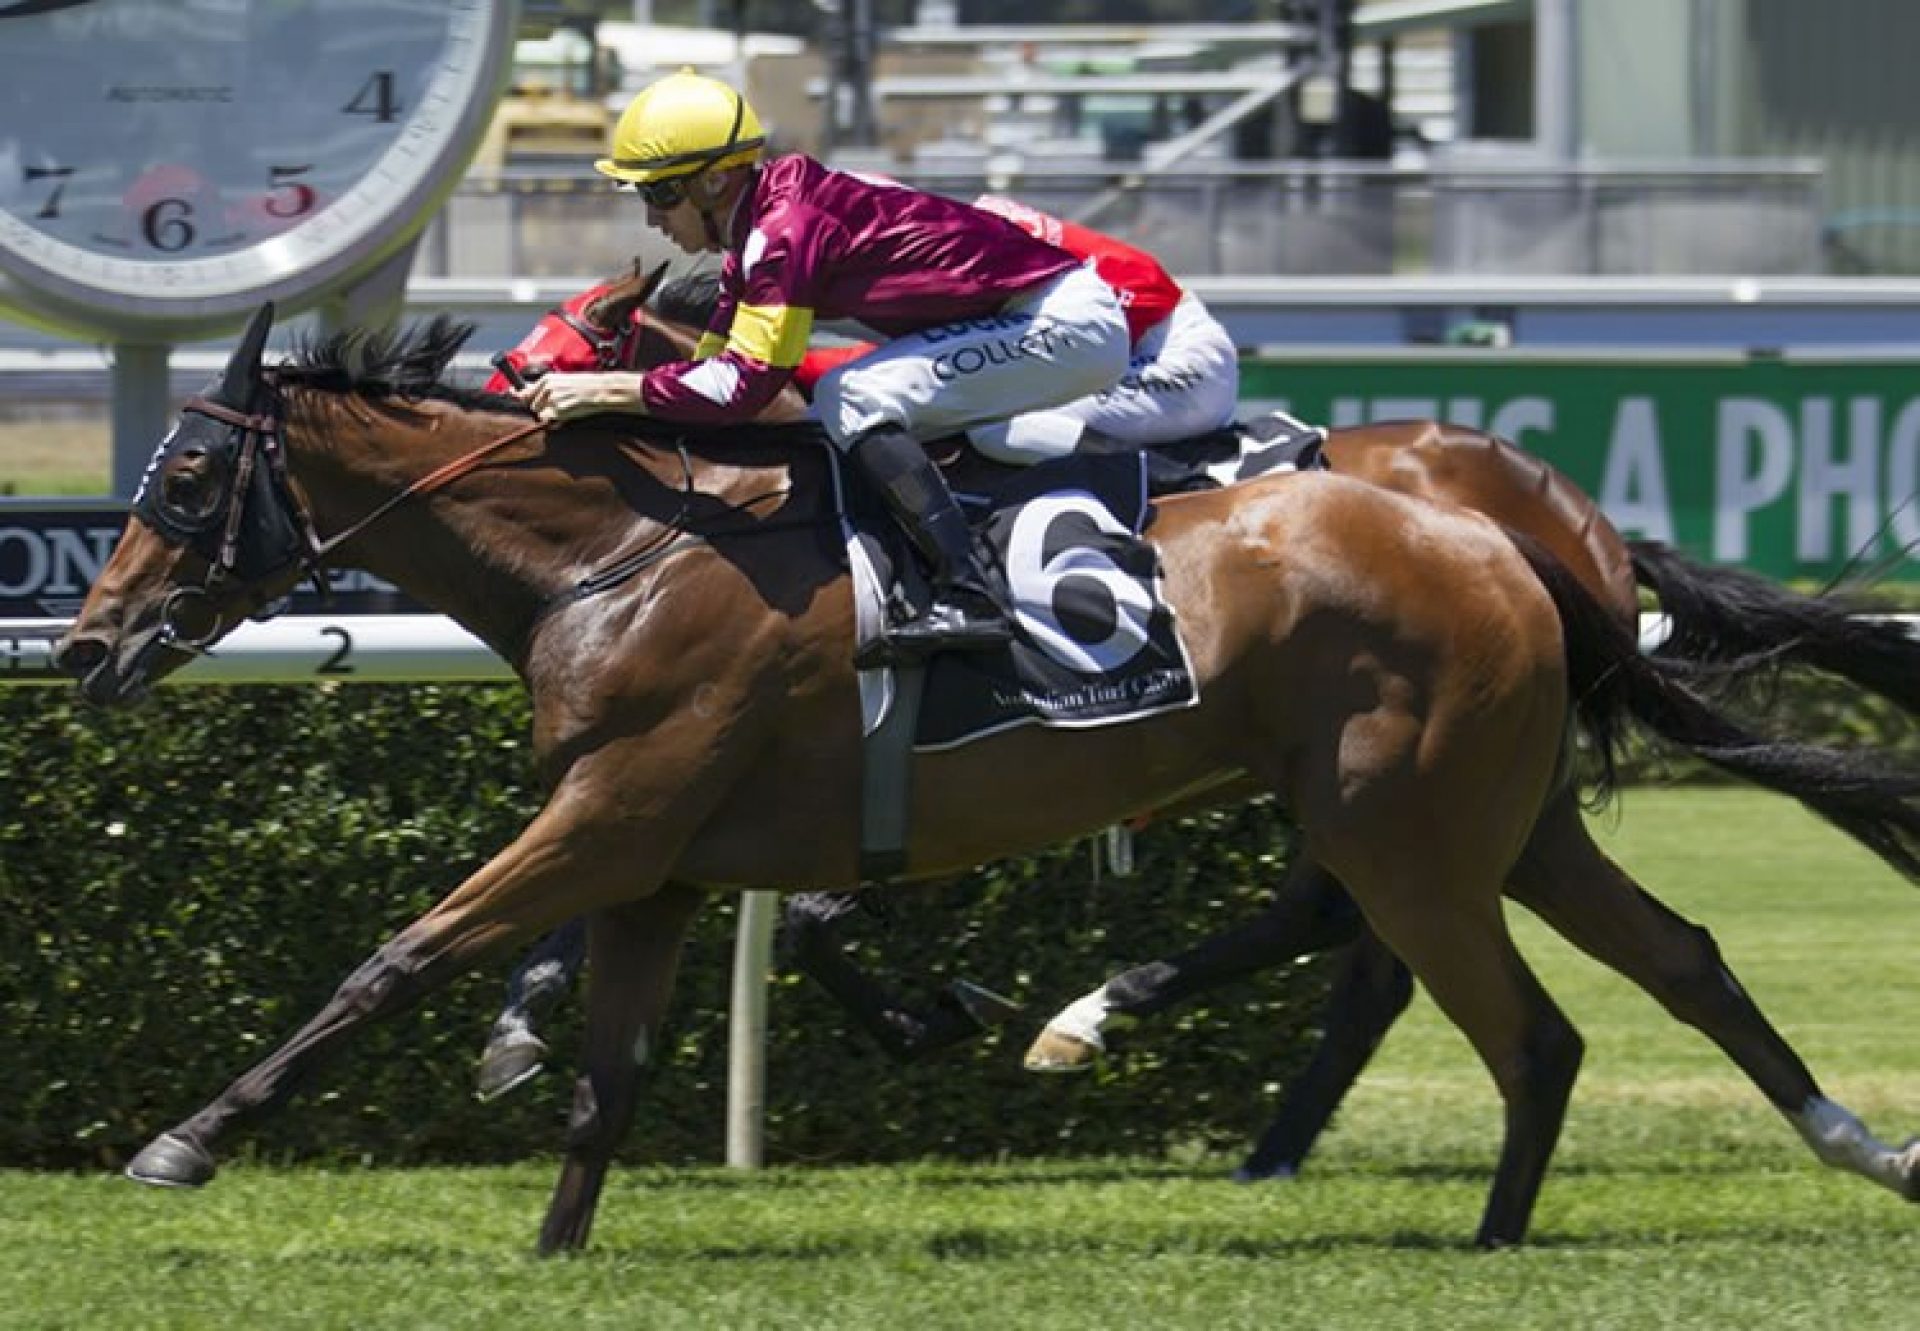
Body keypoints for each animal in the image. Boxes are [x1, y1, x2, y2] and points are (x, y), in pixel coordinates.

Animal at [52, 305, 1920, 1252]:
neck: (629, 549)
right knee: (1673, 961)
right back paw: (1859, 1145)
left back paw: (1454, 1222)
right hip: (1497, 819)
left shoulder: (612, 816)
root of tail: (1514, 536)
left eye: (190, 473)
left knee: (1508, 1019)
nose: (86, 643)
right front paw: (553, 1240)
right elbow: (609, 1065)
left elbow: (402, 957)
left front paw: (182, 1141)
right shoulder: (656, 854)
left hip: (1400, 820)